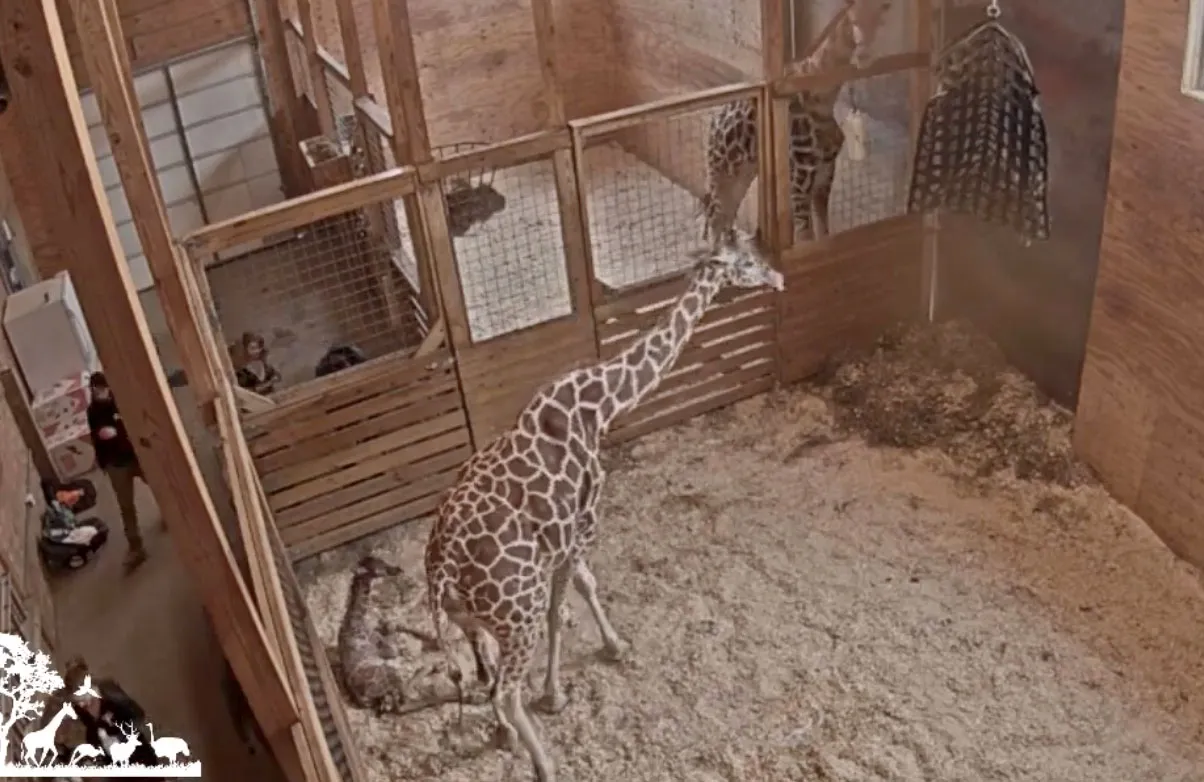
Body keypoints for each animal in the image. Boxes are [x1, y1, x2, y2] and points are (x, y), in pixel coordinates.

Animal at [423, 236, 784, 782]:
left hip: (470, 618)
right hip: (517, 612)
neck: (600, 403)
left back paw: (505, 735)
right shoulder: (584, 521)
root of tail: (440, 567)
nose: (777, 276)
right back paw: (546, 764)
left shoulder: (563, 540)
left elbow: (572, 599)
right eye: (746, 260)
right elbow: (576, 594)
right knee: (506, 689)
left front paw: (569, 679)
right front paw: (587, 669)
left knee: (484, 672)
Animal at [700, 0, 893, 246]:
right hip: (722, 170)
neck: (823, 99)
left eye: (880, 19)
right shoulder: (800, 180)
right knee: (714, 218)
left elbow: (823, 233)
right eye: (854, 20)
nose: (864, 57)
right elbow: (805, 237)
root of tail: (713, 123)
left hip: (743, 173)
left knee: (725, 216)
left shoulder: (824, 175)